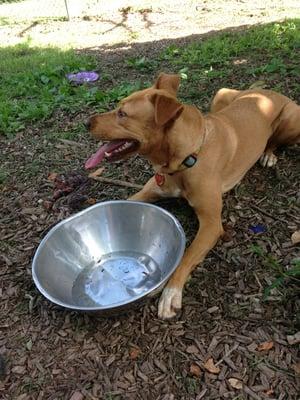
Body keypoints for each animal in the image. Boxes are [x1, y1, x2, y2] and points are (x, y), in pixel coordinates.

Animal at [85, 73, 300, 318]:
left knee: (274, 141)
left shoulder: (211, 224)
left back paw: (268, 154)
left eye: (123, 114)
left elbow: (187, 256)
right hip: (221, 94)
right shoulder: (144, 194)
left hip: (292, 119)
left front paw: (171, 292)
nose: (86, 123)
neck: (185, 159)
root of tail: (269, 92)